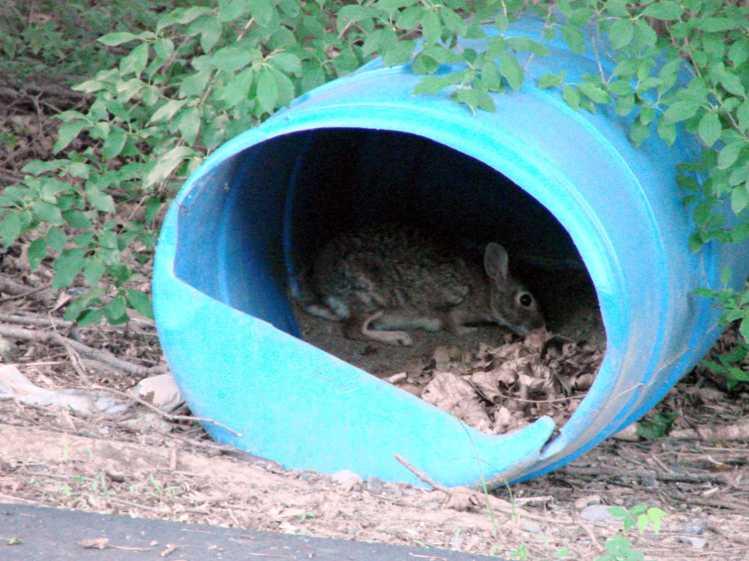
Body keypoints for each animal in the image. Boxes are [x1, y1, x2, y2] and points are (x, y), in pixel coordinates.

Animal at [299, 223, 544, 346]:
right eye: (525, 299)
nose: (540, 328)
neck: (487, 292)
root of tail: (322, 284)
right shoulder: (449, 308)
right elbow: (451, 325)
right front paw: (468, 331)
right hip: (371, 297)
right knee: (353, 330)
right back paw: (399, 338)